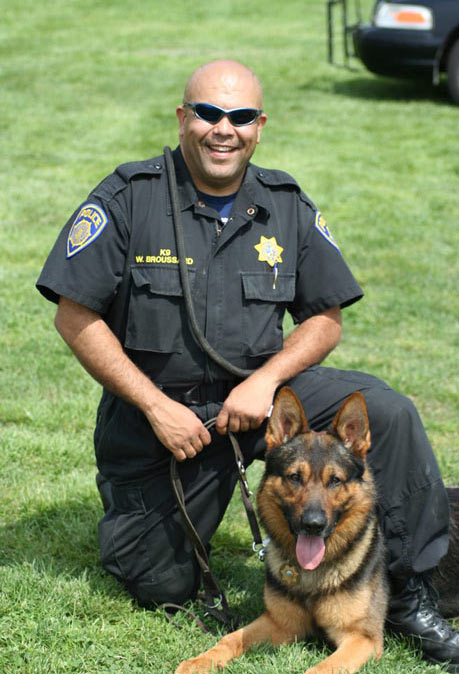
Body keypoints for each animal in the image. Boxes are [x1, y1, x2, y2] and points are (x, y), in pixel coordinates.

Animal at [177, 386, 459, 668]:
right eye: (294, 477)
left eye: (335, 480)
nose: (313, 525)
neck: (312, 575)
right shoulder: (279, 623)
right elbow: (231, 638)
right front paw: (199, 661)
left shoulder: (361, 639)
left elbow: (324, 667)